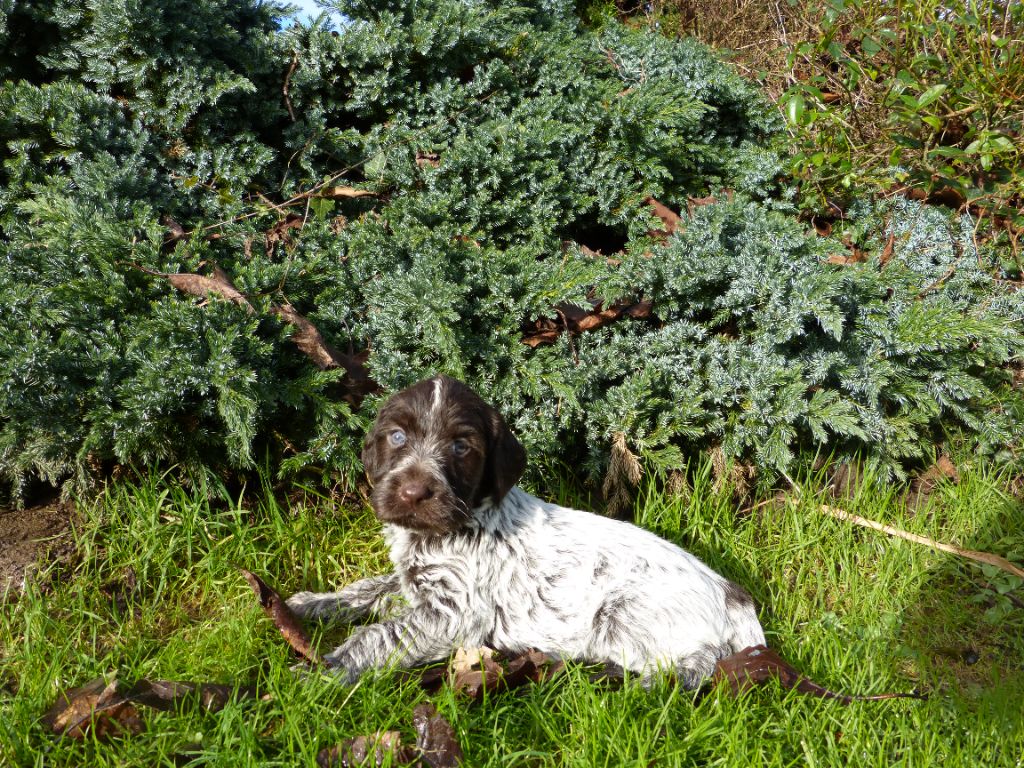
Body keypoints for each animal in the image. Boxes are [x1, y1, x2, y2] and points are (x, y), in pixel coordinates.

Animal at [284, 376, 765, 688]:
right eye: (398, 437)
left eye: (461, 447)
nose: (414, 491)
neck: (457, 522)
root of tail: (733, 593)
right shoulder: (417, 585)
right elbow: (366, 589)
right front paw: (309, 604)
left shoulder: (455, 613)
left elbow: (379, 634)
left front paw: (325, 671)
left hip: (622, 616)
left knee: (704, 660)